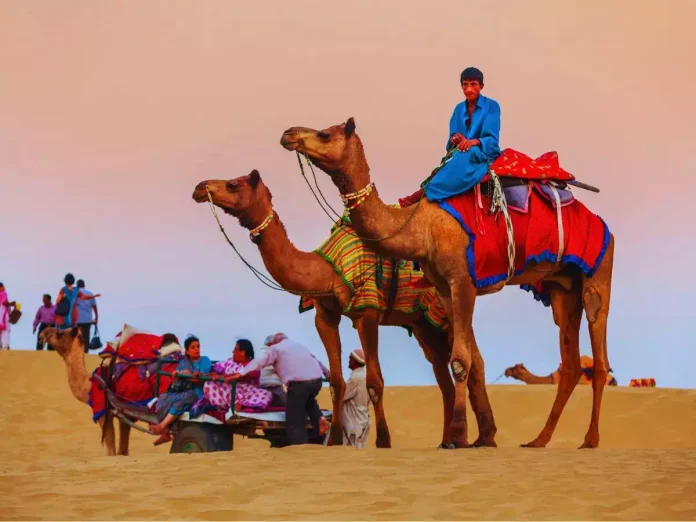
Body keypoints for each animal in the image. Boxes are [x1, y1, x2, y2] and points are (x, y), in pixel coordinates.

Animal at [189, 172, 494, 446]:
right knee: (444, 376)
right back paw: (451, 440)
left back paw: (477, 439)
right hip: (423, 324)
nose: (200, 187)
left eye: (233, 184)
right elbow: (336, 383)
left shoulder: (367, 311)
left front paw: (384, 441)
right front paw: (334, 440)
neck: (324, 271)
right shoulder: (325, 315)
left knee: (472, 359)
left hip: (447, 306)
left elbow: (374, 382)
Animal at [278, 118, 616, 446]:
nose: (288, 134)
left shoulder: (463, 281)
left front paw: (456, 437)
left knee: (598, 353)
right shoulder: (442, 287)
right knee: (570, 362)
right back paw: (539, 440)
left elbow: (461, 361)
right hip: (562, 287)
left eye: (324, 134)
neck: (422, 226)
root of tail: (601, 222)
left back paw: (590, 439)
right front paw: (465, 437)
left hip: (598, 270)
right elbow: (463, 360)